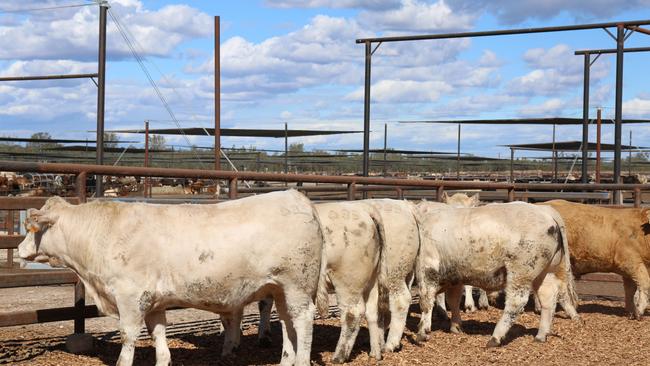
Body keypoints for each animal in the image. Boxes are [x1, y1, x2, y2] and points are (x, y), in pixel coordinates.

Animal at [17, 192, 326, 366]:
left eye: (32, 228)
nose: (19, 249)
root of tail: (298, 197)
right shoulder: (154, 303)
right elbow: (159, 337)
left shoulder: (130, 298)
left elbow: (128, 336)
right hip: (280, 289)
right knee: (287, 323)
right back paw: (286, 361)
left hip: (297, 286)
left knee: (302, 322)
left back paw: (301, 361)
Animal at [416, 202, 576, 344]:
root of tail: (545, 210)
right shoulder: (455, 277)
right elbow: (453, 300)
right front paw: (456, 326)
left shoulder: (428, 269)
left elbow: (426, 301)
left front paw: (422, 331)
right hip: (545, 272)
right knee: (548, 297)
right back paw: (541, 336)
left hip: (520, 272)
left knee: (516, 302)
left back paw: (495, 337)